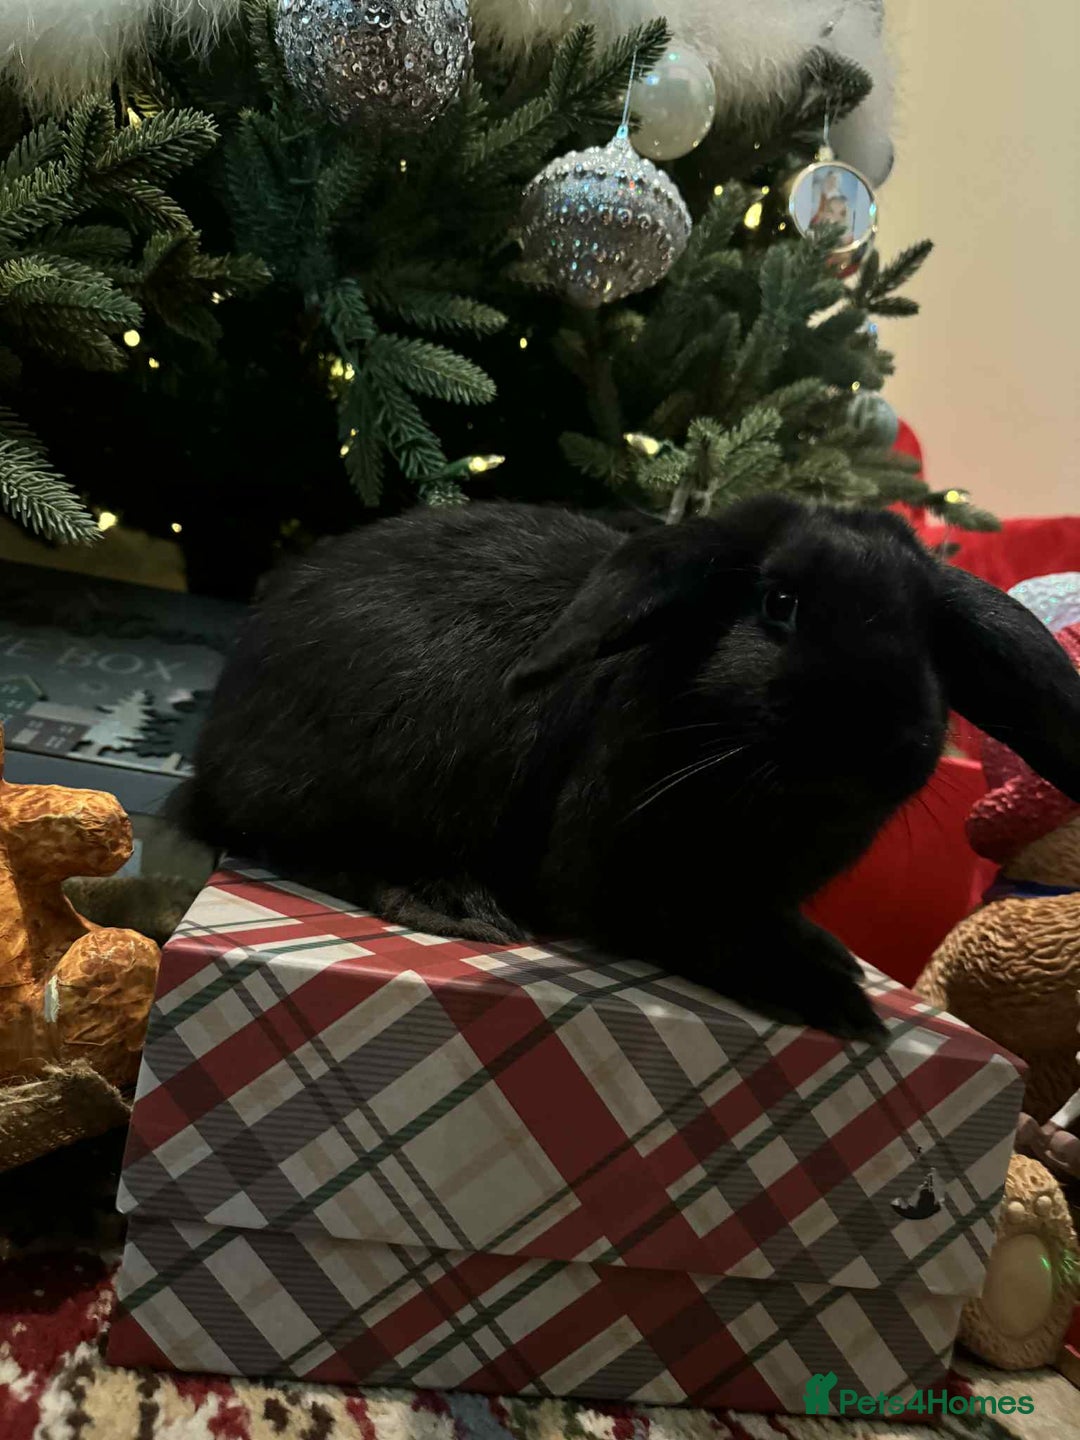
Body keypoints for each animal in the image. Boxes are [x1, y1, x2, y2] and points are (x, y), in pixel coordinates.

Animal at [178, 496, 1080, 1041]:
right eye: (779, 604)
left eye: (928, 633)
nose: (877, 736)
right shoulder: (630, 888)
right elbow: (709, 932)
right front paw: (839, 1001)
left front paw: (830, 963)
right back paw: (451, 903)